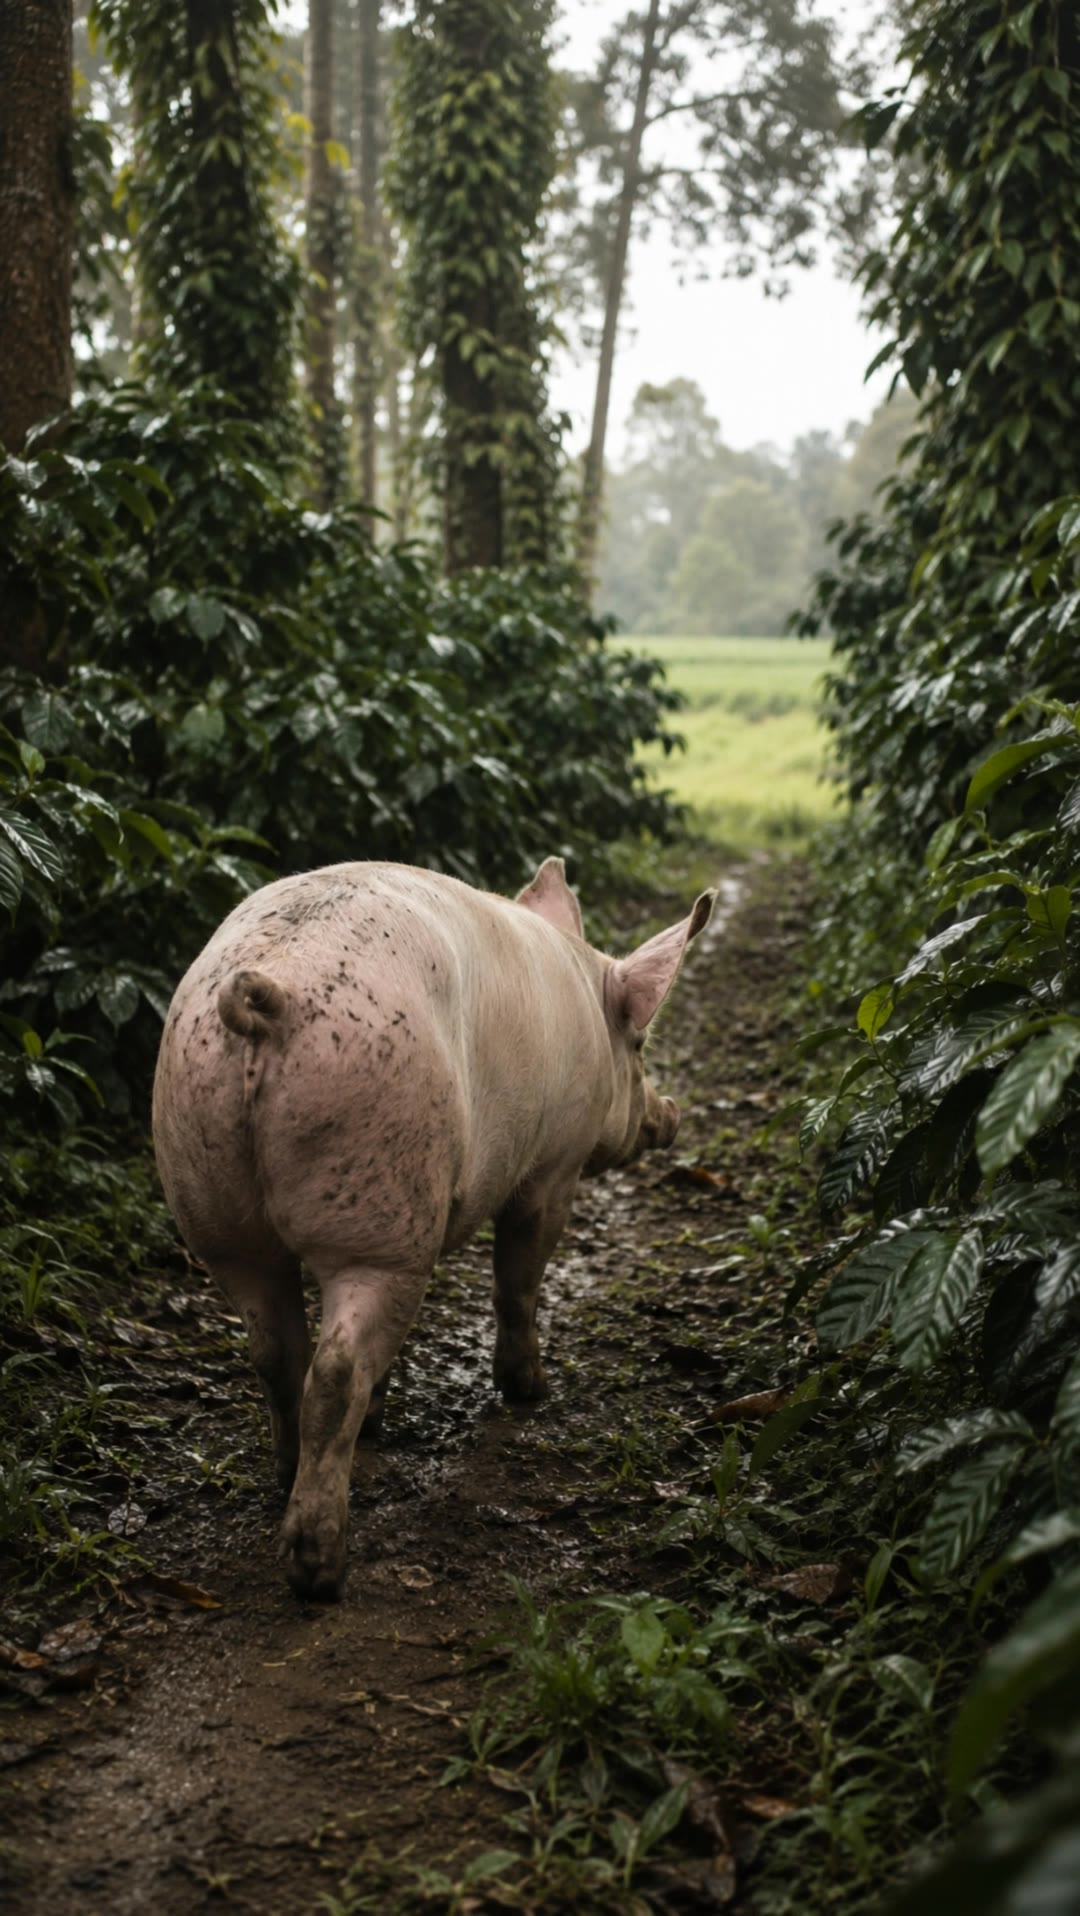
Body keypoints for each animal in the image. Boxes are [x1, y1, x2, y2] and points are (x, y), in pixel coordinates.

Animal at [152, 857, 713, 1600]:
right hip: (376, 1205)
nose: (671, 1114)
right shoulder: (552, 1168)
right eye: (642, 1043)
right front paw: (532, 1392)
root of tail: (268, 996)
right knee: (335, 1369)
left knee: (276, 1353)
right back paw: (319, 1569)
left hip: (211, 1196)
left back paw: (286, 1477)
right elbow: (517, 1279)